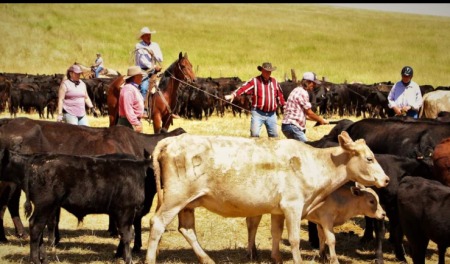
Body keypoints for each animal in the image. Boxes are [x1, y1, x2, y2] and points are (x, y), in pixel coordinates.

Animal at [0, 150, 153, 262]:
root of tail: (38, 158)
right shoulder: (125, 211)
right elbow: (127, 235)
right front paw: (128, 259)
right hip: (45, 204)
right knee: (36, 226)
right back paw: (36, 260)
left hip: (48, 207)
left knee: (39, 228)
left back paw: (44, 258)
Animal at [244, 183, 384, 262]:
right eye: (371, 201)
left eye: (378, 198)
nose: (383, 214)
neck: (341, 200)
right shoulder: (327, 219)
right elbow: (331, 240)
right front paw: (334, 260)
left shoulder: (320, 222)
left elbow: (322, 237)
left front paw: (323, 256)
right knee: (252, 226)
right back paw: (252, 254)